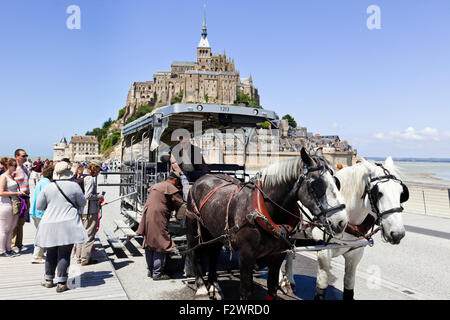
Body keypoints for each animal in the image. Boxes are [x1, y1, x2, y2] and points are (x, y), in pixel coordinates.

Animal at [186, 148, 348, 300]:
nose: (342, 221)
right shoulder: (246, 255)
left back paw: (213, 284)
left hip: (216, 231)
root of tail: (204, 177)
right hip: (194, 227)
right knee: (195, 253)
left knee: (214, 253)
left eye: (337, 182)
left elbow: (272, 286)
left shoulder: (278, 254)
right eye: (318, 185)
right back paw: (201, 287)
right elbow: (246, 290)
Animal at [280, 158, 410, 300]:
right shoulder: (324, 252)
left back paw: (290, 281)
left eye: (401, 193)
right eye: (378, 193)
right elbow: (322, 284)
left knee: (289, 254)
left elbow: (349, 282)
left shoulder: (355, 252)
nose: (397, 233)